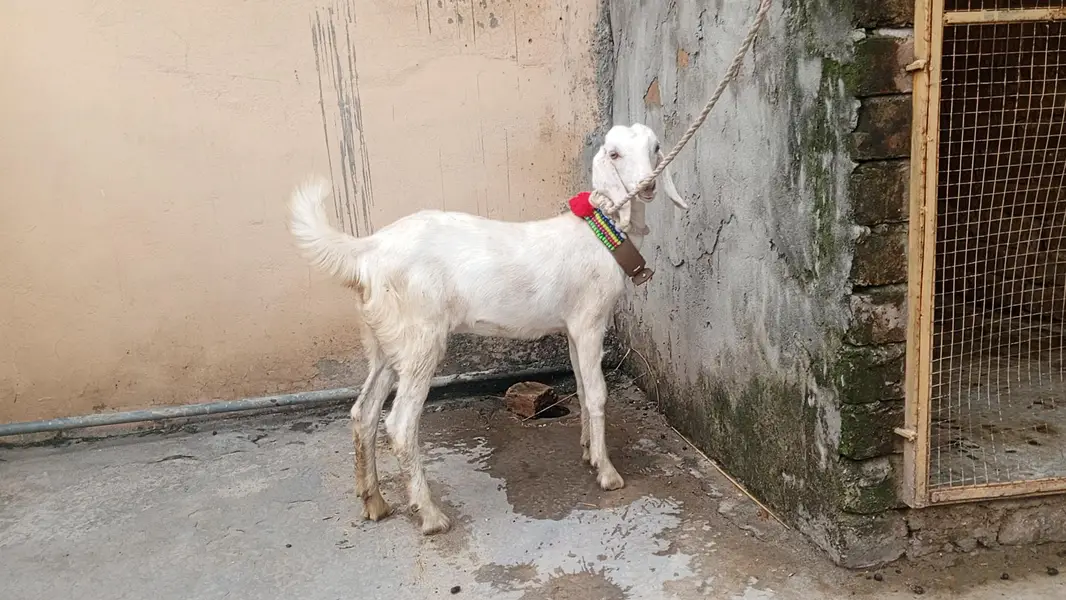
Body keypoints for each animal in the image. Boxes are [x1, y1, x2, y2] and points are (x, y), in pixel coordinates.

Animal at [288, 123, 689, 535]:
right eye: (614, 154)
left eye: (656, 148)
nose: (646, 185)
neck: (601, 233)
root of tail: (367, 251)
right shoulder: (590, 320)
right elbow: (596, 394)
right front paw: (607, 473)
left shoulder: (572, 326)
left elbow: (579, 384)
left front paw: (588, 452)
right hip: (420, 338)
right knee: (399, 424)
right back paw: (430, 515)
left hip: (385, 338)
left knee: (363, 412)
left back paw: (375, 502)